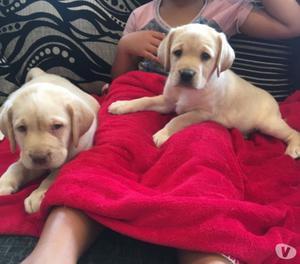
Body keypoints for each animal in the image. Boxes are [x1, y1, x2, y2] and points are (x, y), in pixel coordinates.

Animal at [0, 67, 101, 212]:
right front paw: (5, 182)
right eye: (21, 128)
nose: (39, 158)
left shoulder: (76, 156)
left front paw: (38, 194)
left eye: (57, 126)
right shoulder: (28, 160)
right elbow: (17, 166)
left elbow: (55, 175)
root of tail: (43, 74)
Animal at [109, 23, 300, 159]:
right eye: (177, 52)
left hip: (269, 124)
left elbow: (179, 119)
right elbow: (145, 99)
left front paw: (164, 133)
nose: (186, 74)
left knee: (293, 132)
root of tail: (274, 103)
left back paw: (294, 148)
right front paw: (122, 105)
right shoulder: (167, 101)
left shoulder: (202, 112)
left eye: (205, 56)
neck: (187, 91)